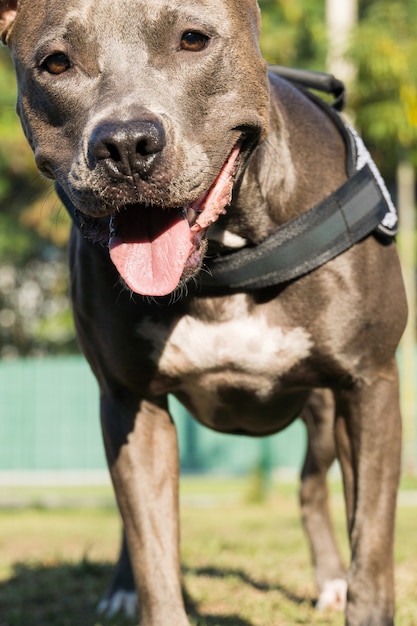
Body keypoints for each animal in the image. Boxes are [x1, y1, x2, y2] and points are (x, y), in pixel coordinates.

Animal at [0, 1, 406, 624]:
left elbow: (373, 542)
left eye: (193, 39)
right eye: (57, 63)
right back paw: (121, 586)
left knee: (312, 486)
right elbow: (153, 547)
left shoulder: (370, 384)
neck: (225, 258)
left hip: (322, 411)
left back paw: (330, 578)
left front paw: (357, 588)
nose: (126, 144)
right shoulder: (130, 401)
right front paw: (142, 584)